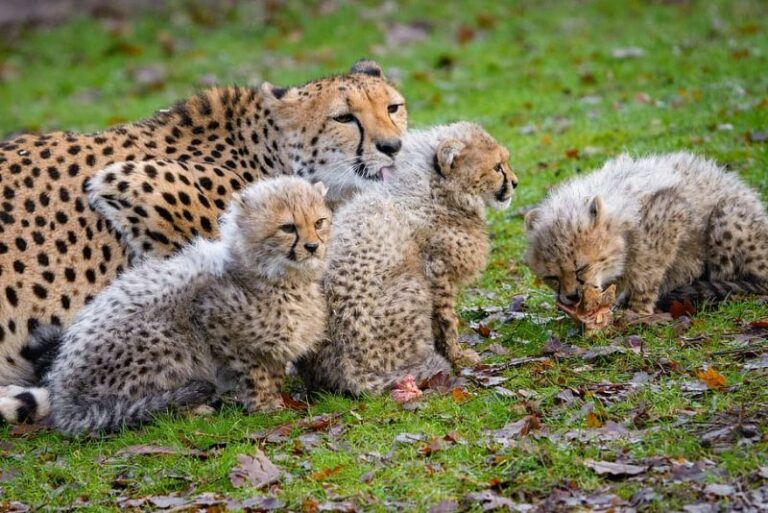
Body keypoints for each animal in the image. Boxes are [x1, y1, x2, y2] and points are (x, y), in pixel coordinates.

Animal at [31, 176, 330, 435]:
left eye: (319, 222)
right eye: (288, 227)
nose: (313, 246)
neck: (280, 277)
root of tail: (65, 402)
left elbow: (274, 369)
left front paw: (275, 396)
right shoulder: (214, 322)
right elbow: (253, 372)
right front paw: (264, 405)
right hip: (164, 340)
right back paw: (195, 409)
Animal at [296, 122, 518, 395]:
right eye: (497, 167)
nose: (515, 183)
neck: (434, 189)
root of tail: (346, 368)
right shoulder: (436, 273)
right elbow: (446, 321)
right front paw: (457, 357)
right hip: (412, 284)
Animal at [524, 152, 768, 316]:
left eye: (580, 268)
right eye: (552, 277)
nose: (572, 296)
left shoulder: (672, 212)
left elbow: (646, 269)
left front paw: (638, 310)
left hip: (727, 216)